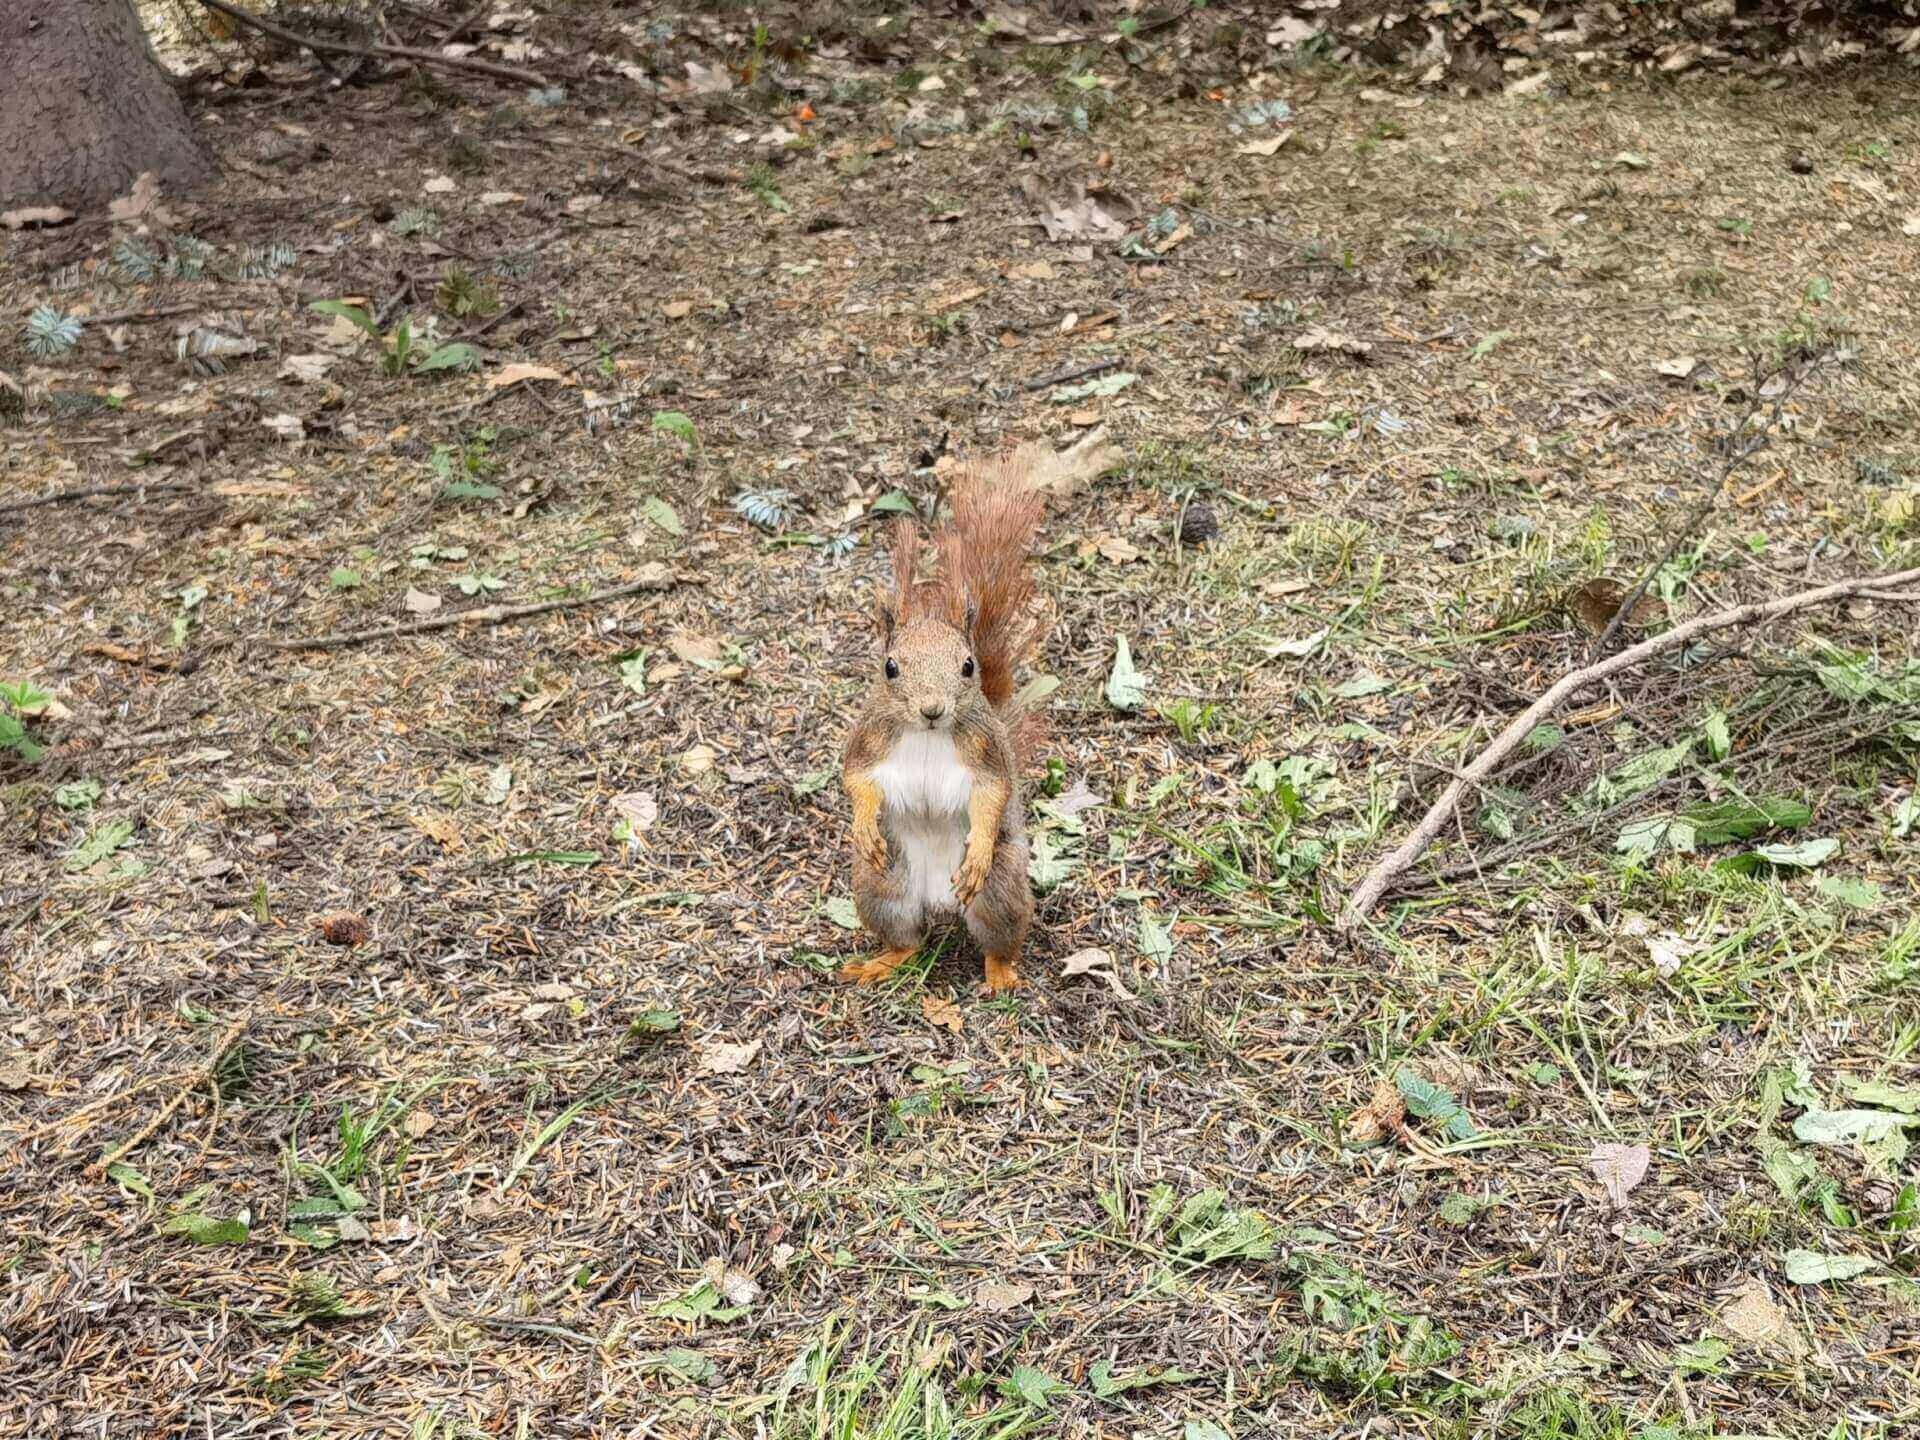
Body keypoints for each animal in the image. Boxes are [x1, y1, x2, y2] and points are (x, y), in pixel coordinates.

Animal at [840, 456, 1052, 998]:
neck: (929, 735)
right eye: (890, 667)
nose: (932, 709)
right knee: (908, 941)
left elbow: (993, 792)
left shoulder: (986, 748)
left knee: (999, 937)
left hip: (1001, 889)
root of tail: (939, 900)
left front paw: (978, 844)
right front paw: (861, 822)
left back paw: (1000, 973)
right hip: (883, 886)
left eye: (968, 665)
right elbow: (856, 779)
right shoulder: (869, 737)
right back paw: (883, 961)